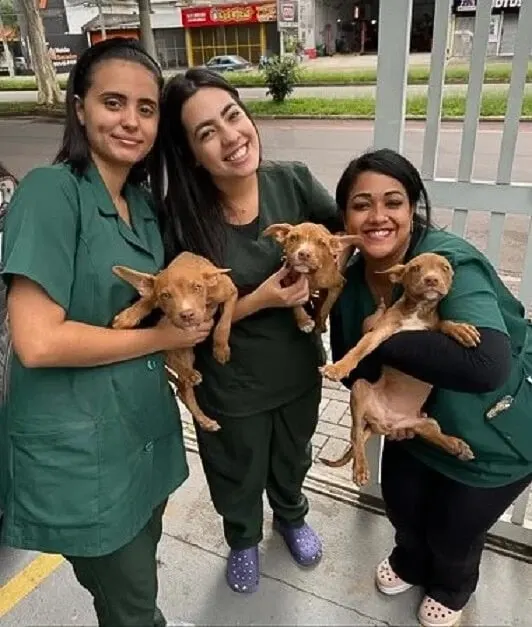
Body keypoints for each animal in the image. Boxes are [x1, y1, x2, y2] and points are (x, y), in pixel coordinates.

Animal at [111, 250, 237, 432]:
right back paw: (190, 377)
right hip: (180, 351)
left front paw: (220, 349)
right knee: (175, 369)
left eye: (197, 287)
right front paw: (128, 316)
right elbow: (147, 299)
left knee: (182, 388)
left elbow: (224, 323)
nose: (187, 315)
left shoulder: (231, 291)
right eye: (166, 295)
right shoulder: (156, 296)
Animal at [320, 253, 482, 488]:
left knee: (431, 434)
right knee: (355, 434)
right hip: (360, 388)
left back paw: (455, 445)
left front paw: (460, 329)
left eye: (444, 268)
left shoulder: (430, 328)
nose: (431, 280)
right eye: (415, 268)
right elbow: (358, 350)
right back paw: (360, 469)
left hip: (425, 421)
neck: (417, 310)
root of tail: (385, 424)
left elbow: (442, 324)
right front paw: (338, 367)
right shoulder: (379, 332)